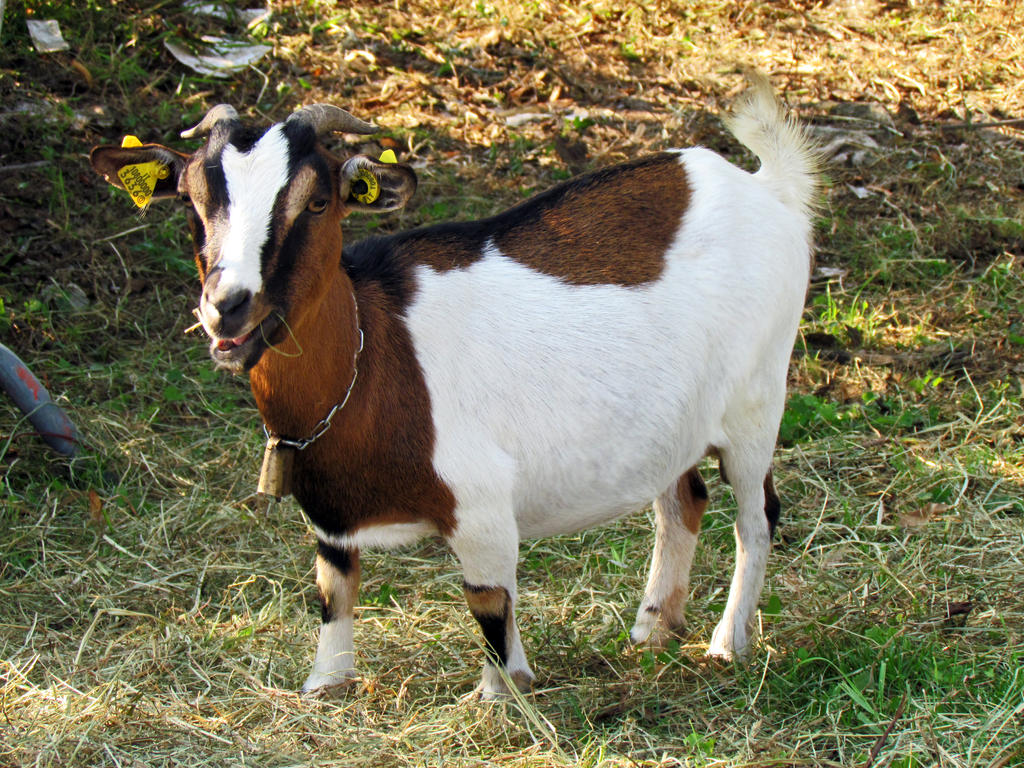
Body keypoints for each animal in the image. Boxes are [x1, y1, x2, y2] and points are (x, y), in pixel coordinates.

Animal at [90, 75, 819, 699]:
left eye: (318, 201)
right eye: (191, 204)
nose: (228, 308)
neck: (371, 356)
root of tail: (764, 186)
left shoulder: (481, 508)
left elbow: (488, 603)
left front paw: (502, 694)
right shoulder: (329, 515)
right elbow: (334, 593)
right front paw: (324, 685)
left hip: (757, 402)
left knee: (757, 516)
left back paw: (727, 643)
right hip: (671, 422)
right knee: (682, 501)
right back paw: (652, 627)